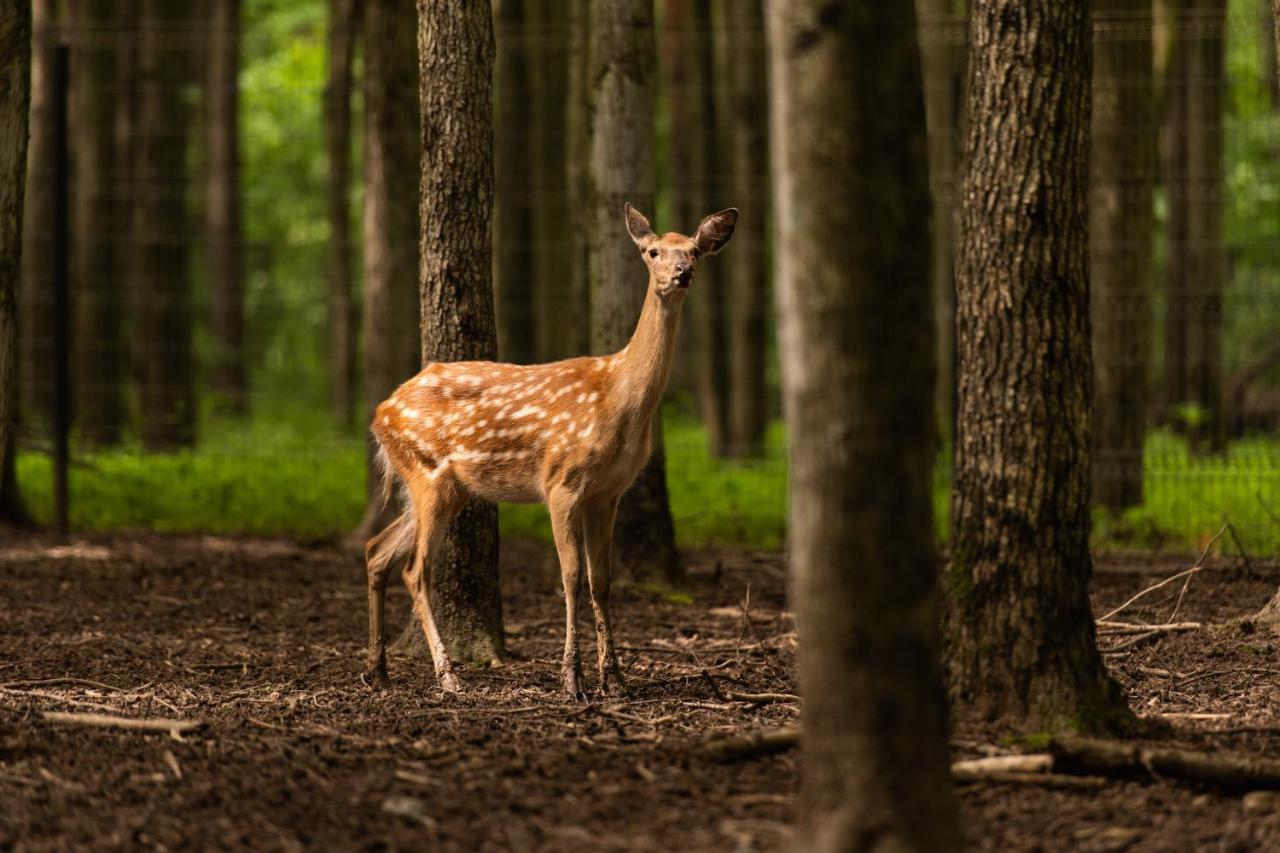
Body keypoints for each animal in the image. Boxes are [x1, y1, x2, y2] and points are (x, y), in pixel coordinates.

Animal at [363, 202, 742, 696]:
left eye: (694, 250)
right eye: (653, 251)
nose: (682, 273)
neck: (620, 399)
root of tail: (379, 412)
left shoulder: (608, 493)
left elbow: (602, 580)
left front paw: (615, 679)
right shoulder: (561, 481)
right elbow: (571, 577)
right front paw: (572, 679)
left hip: (444, 487)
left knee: (377, 550)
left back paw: (378, 670)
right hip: (427, 475)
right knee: (415, 570)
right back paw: (447, 676)